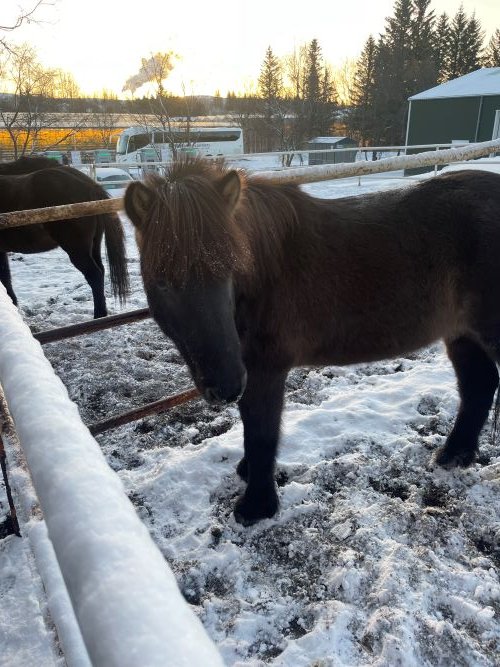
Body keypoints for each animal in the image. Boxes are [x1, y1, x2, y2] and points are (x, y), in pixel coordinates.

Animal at [0, 157, 129, 318]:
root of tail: (89, 185)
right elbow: (6, 279)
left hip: (77, 249)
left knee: (94, 275)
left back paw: (98, 315)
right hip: (94, 245)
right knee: (101, 271)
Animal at [124, 157, 500, 525]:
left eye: (230, 271)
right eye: (162, 281)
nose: (226, 386)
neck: (267, 273)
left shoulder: (265, 370)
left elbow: (261, 431)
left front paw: (257, 506)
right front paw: (248, 473)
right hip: (462, 334)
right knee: (479, 385)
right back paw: (454, 454)